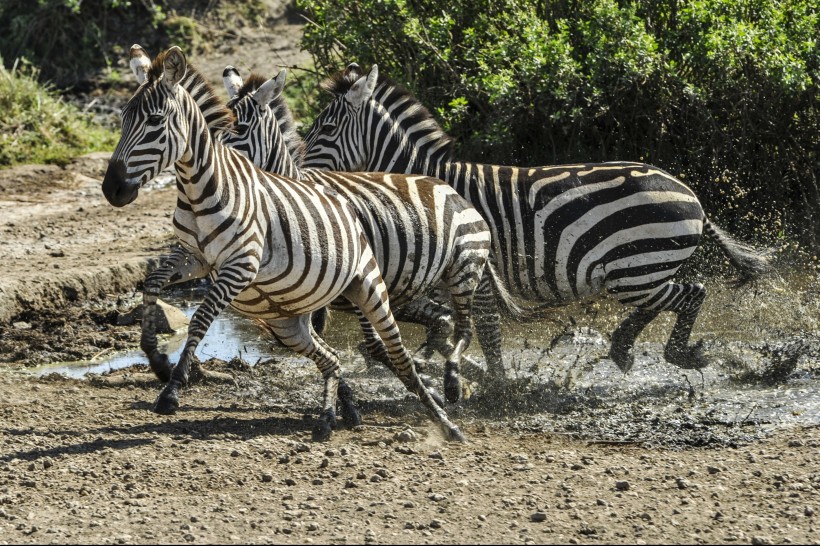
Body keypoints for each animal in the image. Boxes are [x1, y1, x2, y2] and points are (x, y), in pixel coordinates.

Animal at [101, 44, 468, 440]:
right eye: (123, 119)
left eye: (154, 122)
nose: (112, 189)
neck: (199, 190)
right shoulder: (196, 258)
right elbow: (152, 282)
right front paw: (156, 359)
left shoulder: (240, 265)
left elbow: (200, 318)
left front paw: (172, 388)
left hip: (372, 284)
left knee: (402, 340)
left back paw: (443, 404)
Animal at [298, 62, 772, 374]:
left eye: (324, 130)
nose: (295, 171)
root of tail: (691, 194)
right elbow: (438, 318)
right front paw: (443, 354)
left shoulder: (472, 270)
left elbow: (486, 330)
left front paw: (495, 385)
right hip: (641, 273)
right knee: (675, 296)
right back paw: (623, 348)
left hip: (636, 269)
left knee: (691, 293)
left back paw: (677, 354)